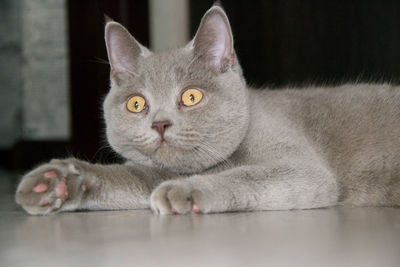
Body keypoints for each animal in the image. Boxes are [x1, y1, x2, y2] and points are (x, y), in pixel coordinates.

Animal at [14, 5, 400, 216]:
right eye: (137, 104)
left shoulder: (302, 167)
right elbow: (130, 177)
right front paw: (54, 182)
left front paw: (185, 191)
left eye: (191, 97)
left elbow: (248, 175)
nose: (160, 124)